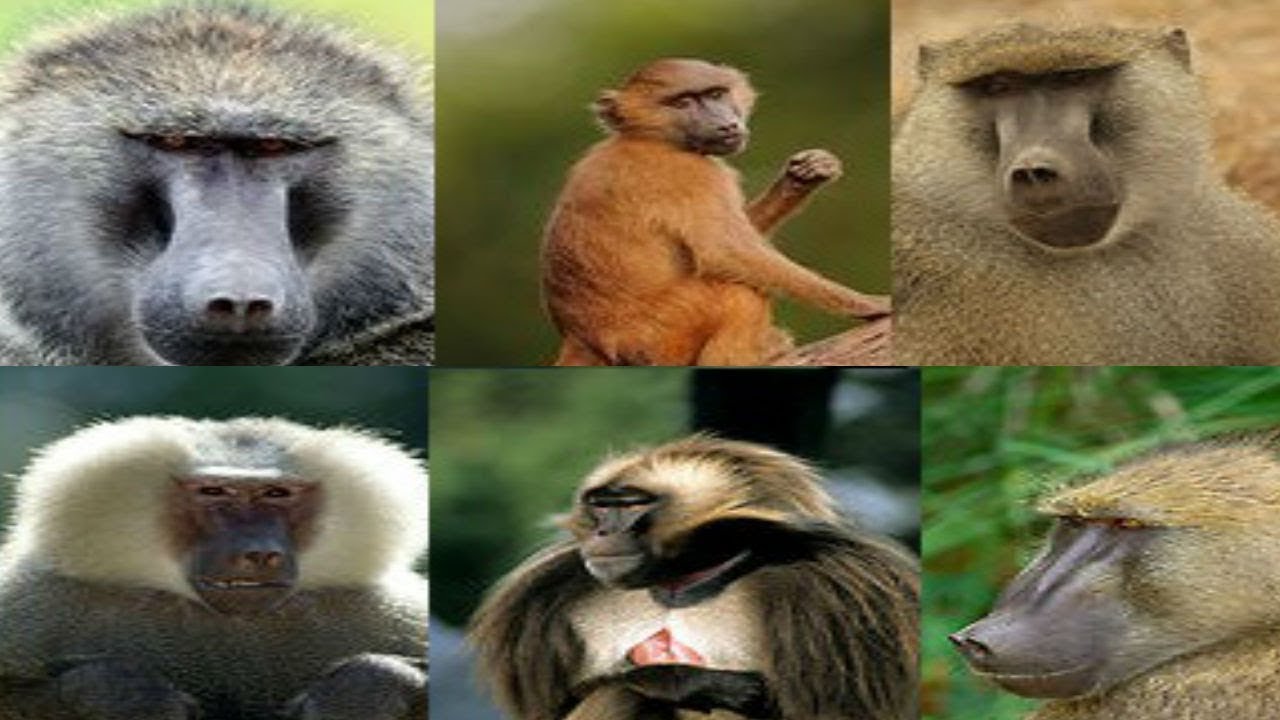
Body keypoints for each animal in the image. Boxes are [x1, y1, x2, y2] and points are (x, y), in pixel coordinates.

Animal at [0, 416, 429, 720]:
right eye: (213, 491)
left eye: (276, 493)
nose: (259, 553)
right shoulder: (42, 600)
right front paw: (124, 695)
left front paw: (364, 690)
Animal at [469, 435, 919, 719]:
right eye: (601, 506)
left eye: (631, 506)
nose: (601, 534)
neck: (679, 581)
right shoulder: (547, 592)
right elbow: (554, 709)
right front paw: (681, 680)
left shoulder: (837, 597)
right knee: (620, 692)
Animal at [541, 58, 890, 367]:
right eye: (682, 102)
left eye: (715, 94)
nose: (726, 125)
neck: (649, 139)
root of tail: (581, 339)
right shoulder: (691, 174)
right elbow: (725, 251)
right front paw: (872, 305)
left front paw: (803, 176)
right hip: (658, 335)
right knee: (739, 294)